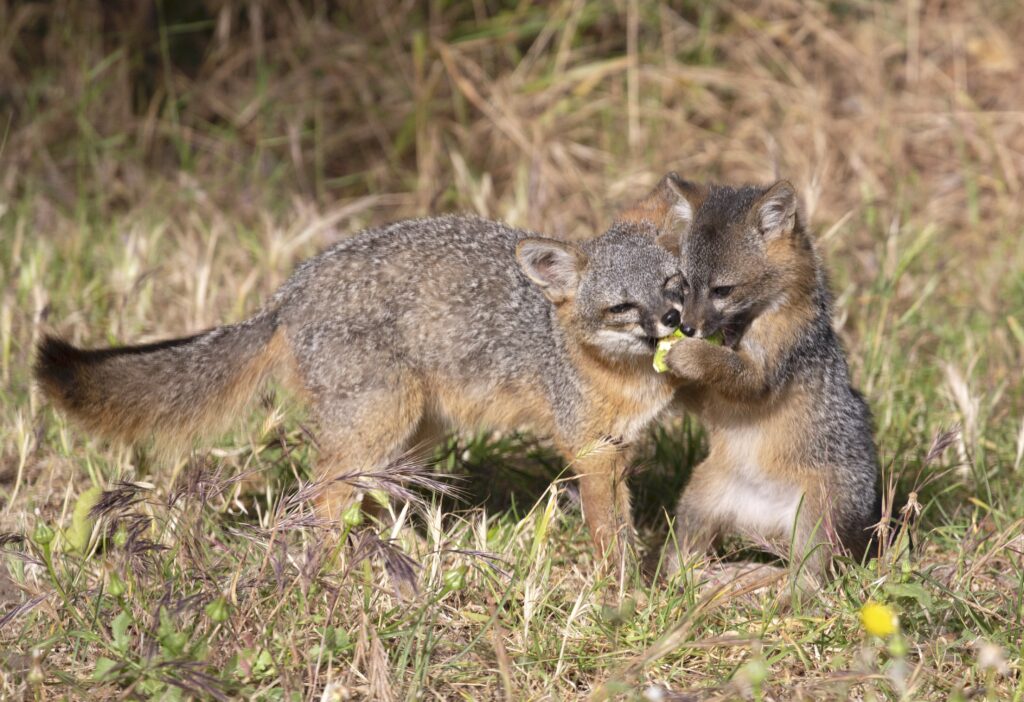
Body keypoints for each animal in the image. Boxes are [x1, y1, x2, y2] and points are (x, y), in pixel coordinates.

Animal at [37, 211, 688, 568]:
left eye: (673, 286)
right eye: (623, 307)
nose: (673, 321)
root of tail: (289, 292)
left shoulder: (620, 454)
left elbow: (626, 527)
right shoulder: (590, 453)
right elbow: (610, 537)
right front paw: (619, 596)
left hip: (408, 439)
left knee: (363, 499)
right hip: (380, 424)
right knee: (323, 497)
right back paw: (335, 574)